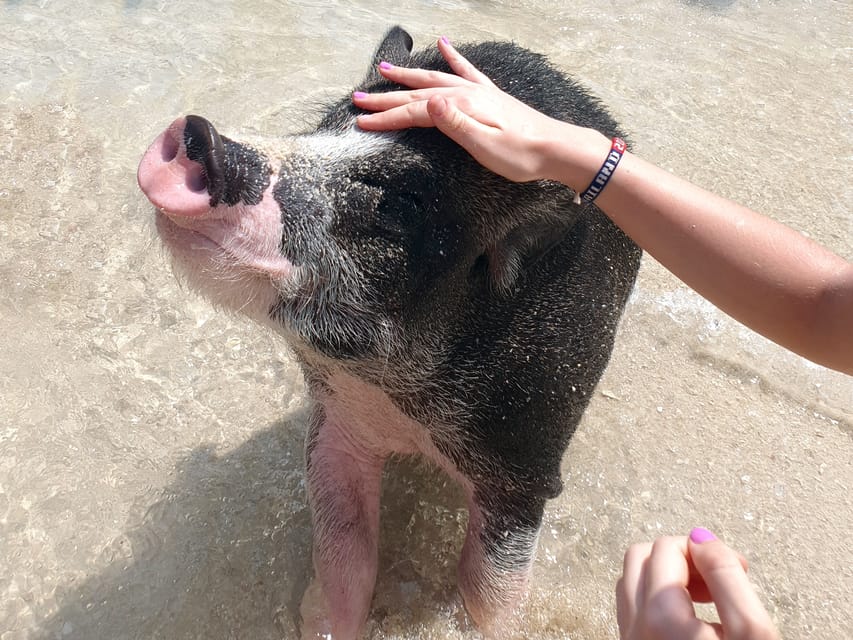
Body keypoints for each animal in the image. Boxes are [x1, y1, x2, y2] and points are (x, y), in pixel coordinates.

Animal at [135, 26, 640, 640]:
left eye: (400, 203)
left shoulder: (526, 467)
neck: (397, 398)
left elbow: (488, 592)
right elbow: (344, 558)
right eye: (325, 125)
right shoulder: (340, 419)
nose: (201, 134)